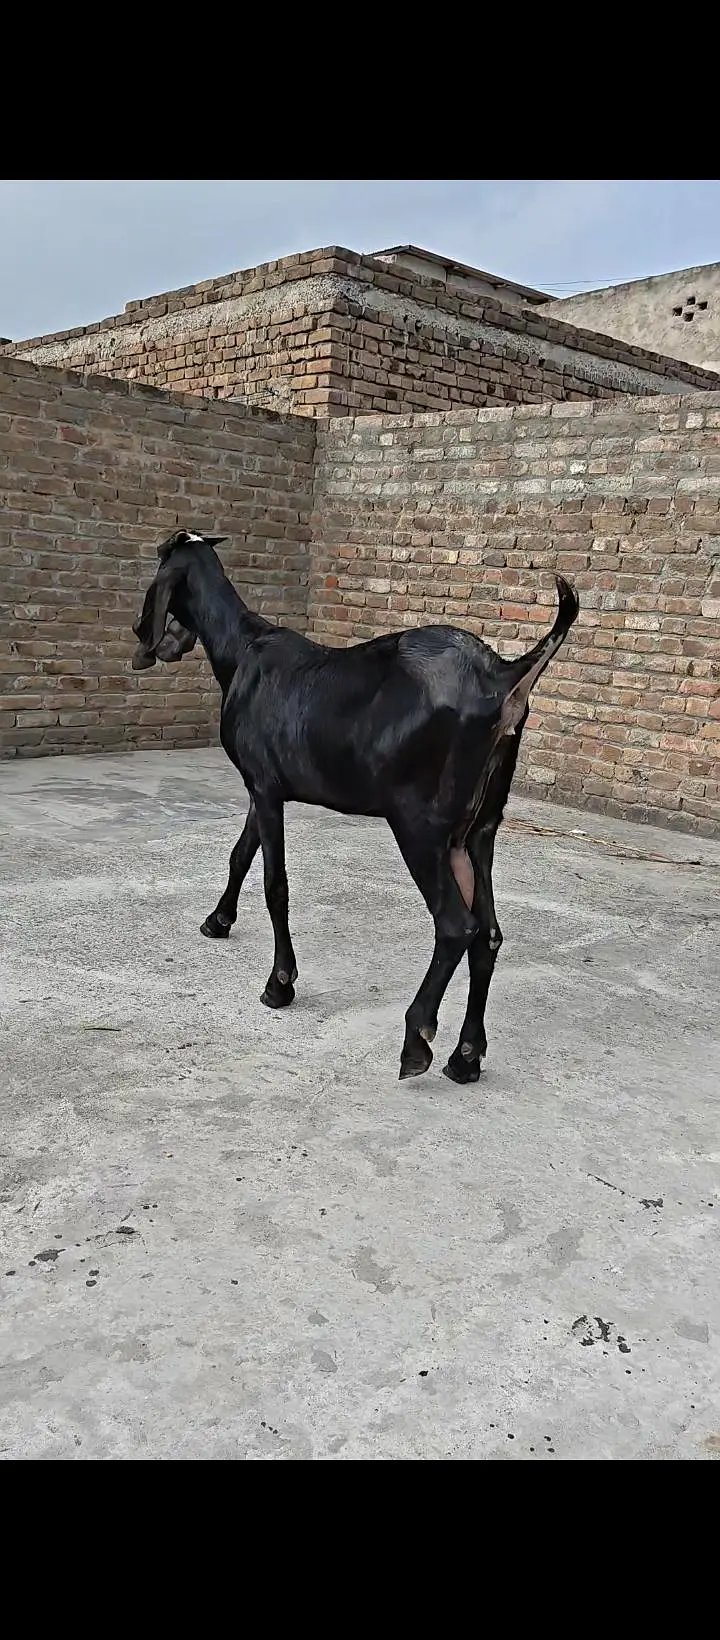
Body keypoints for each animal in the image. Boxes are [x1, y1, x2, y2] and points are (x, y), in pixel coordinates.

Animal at [131, 530, 579, 1081]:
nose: (140, 631)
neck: (241, 648)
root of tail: (502, 678)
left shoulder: (266, 789)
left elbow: (275, 884)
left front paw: (280, 983)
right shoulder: (263, 785)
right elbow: (240, 854)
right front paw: (218, 921)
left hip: (420, 826)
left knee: (457, 925)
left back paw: (416, 1040)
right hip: (478, 830)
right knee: (488, 933)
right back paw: (466, 1056)